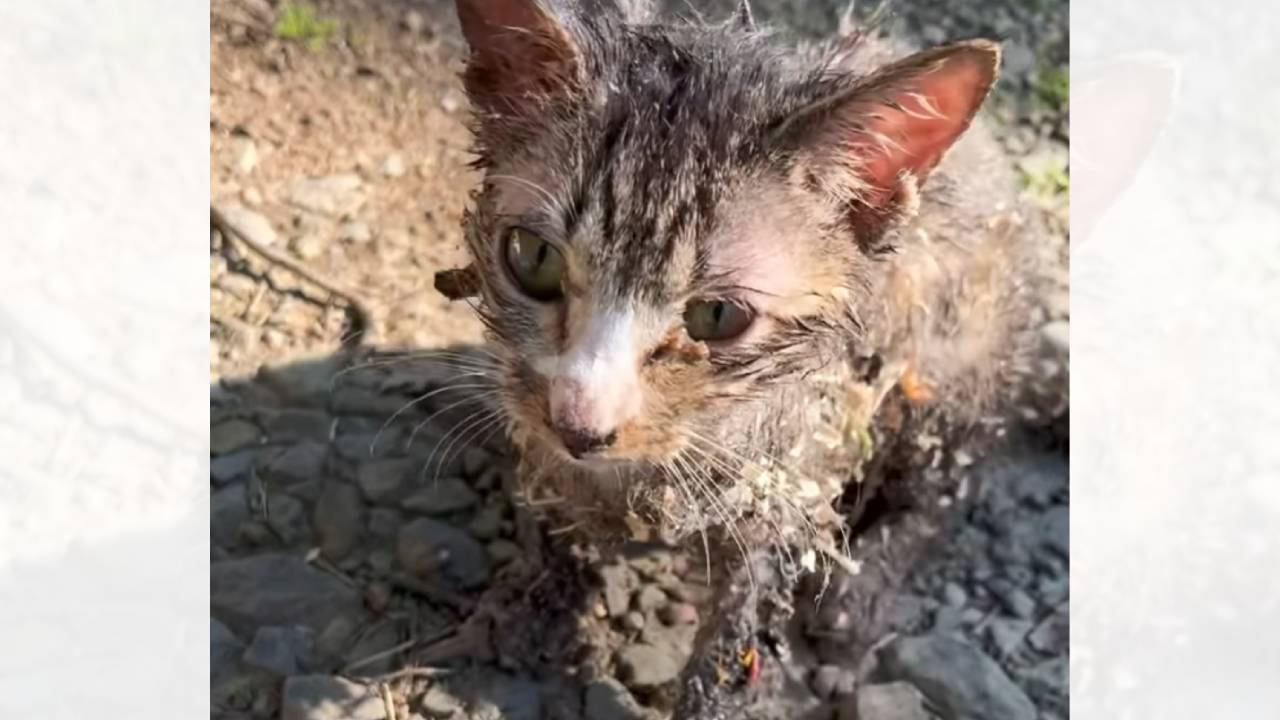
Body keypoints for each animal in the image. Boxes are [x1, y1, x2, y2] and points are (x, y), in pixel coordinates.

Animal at [435, 0, 1034, 712]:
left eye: (717, 317)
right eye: (532, 258)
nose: (579, 426)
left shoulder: (790, 487)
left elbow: (732, 650)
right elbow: (560, 503)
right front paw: (533, 603)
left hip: (956, 360)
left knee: (951, 479)